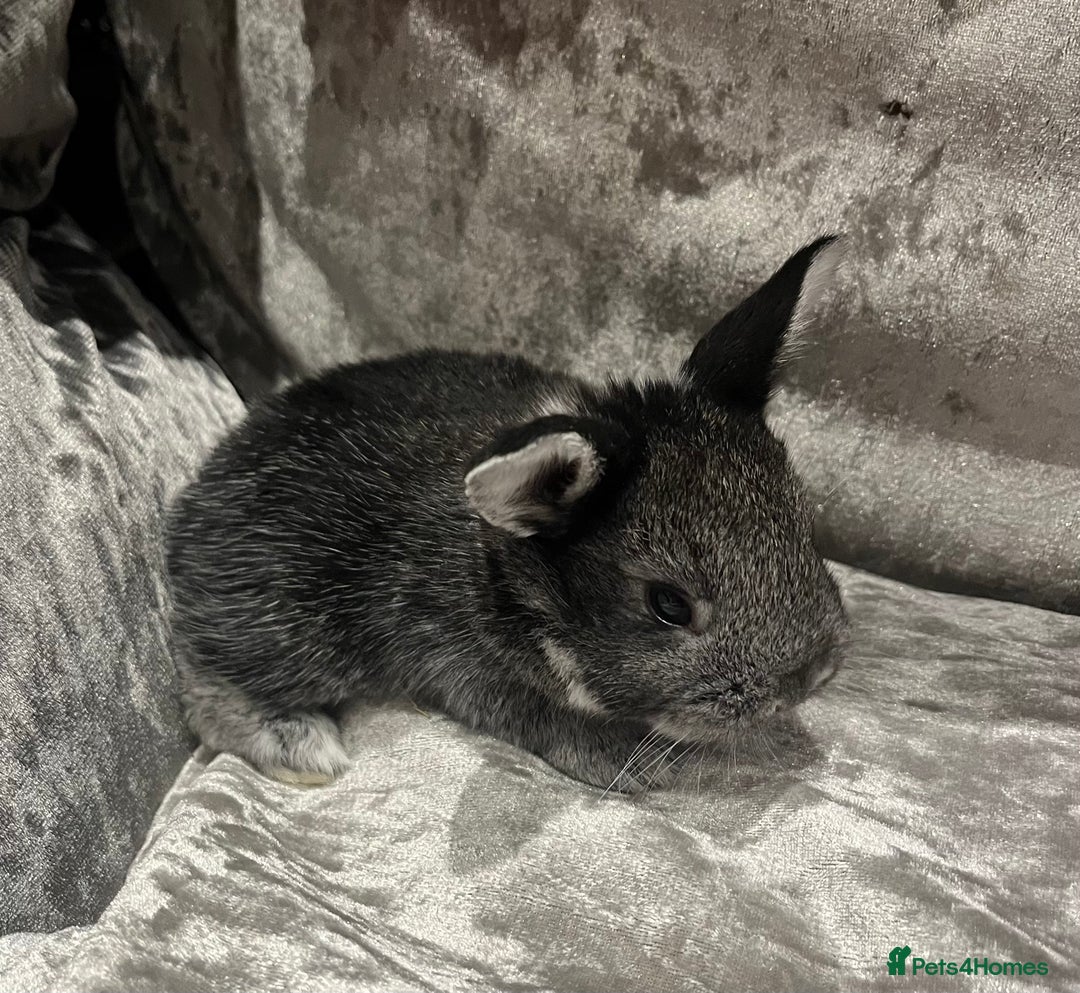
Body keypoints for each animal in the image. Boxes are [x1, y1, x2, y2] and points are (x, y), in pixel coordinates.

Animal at [166, 236, 848, 793]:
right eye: (668, 605)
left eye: (802, 525)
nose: (809, 679)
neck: (504, 565)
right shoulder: (469, 664)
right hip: (290, 624)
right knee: (206, 683)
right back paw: (302, 748)